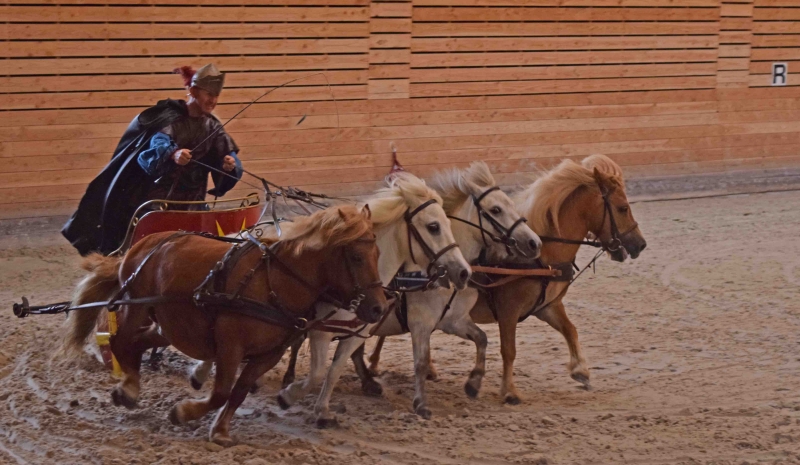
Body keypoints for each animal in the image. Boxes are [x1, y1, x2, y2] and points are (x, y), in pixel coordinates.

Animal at [57, 205, 386, 444]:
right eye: (356, 256)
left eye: (378, 253)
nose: (378, 308)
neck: (273, 283)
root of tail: (143, 244)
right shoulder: (231, 345)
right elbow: (222, 392)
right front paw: (184, 412)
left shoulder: (269, 354)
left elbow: (239, 392)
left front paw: (221, 430)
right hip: (135, 305)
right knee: (120, 341)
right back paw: (128, 388)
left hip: (169, 323)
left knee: (139, 342)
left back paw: (131, 387)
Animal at [278, 161, 540, 422]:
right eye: (496, 209)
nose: (534, 243)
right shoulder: (420, 322)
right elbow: (420, 363)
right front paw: (421, 403)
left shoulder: (452, 320)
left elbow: (481, 338)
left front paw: (473, 383)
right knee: (298, 343)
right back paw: (291, 377)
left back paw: (368, 383)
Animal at [368, 155, 648, 402]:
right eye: (623, 208)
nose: (640, 244)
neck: (542, 258)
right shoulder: (508, 311)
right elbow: (509, 350)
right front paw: (509, 391)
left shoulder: (547, 306)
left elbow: (570, 330)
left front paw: (581, 371)